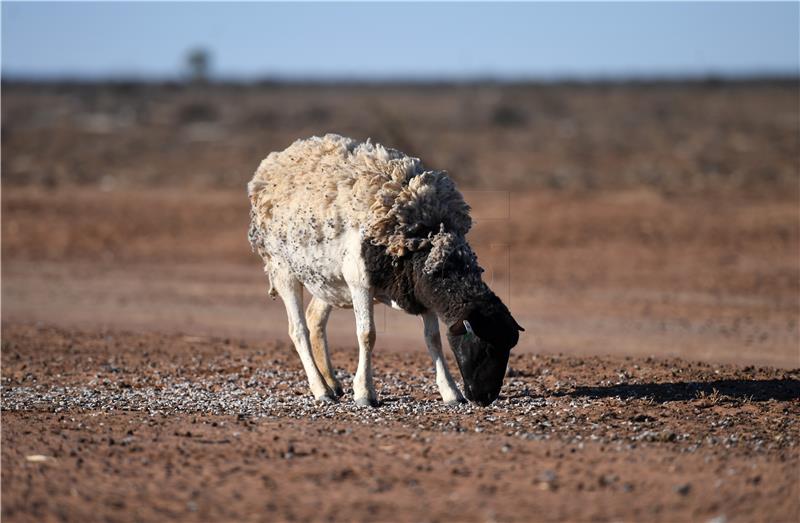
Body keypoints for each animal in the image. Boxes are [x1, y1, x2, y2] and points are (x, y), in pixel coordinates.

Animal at [250, 133, 524, 408]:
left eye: (508, 348)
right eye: (485, 347)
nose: (486, 397)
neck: (421, 234)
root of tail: (275, 161)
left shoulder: (420, 288)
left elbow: (433, 339)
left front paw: (451, 393)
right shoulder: (360, 282)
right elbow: (367, 334)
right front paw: (364, 393)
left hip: (329, 279)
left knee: (314, 318)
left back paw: (332, 383)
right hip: (282, 268)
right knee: (298, 330)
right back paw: (321, 390)